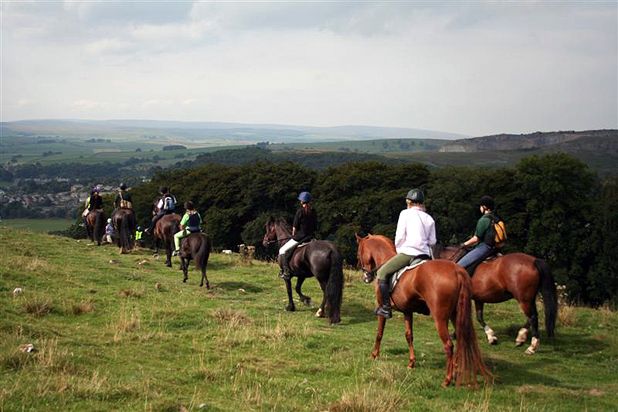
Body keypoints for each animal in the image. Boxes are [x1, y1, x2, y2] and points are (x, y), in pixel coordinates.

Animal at [354, 233, 488, 388]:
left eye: (358, 253)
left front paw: (374, 355)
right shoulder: (407, 311)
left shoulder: (382, 308)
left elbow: (379, 333)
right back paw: (455, 371)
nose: (366, 277)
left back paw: (447, 379)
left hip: (440, 318)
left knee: (449, 345)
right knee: (461, 340)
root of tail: (457, 271)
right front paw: (411, 362)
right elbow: (409, 336)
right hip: (456, 315)